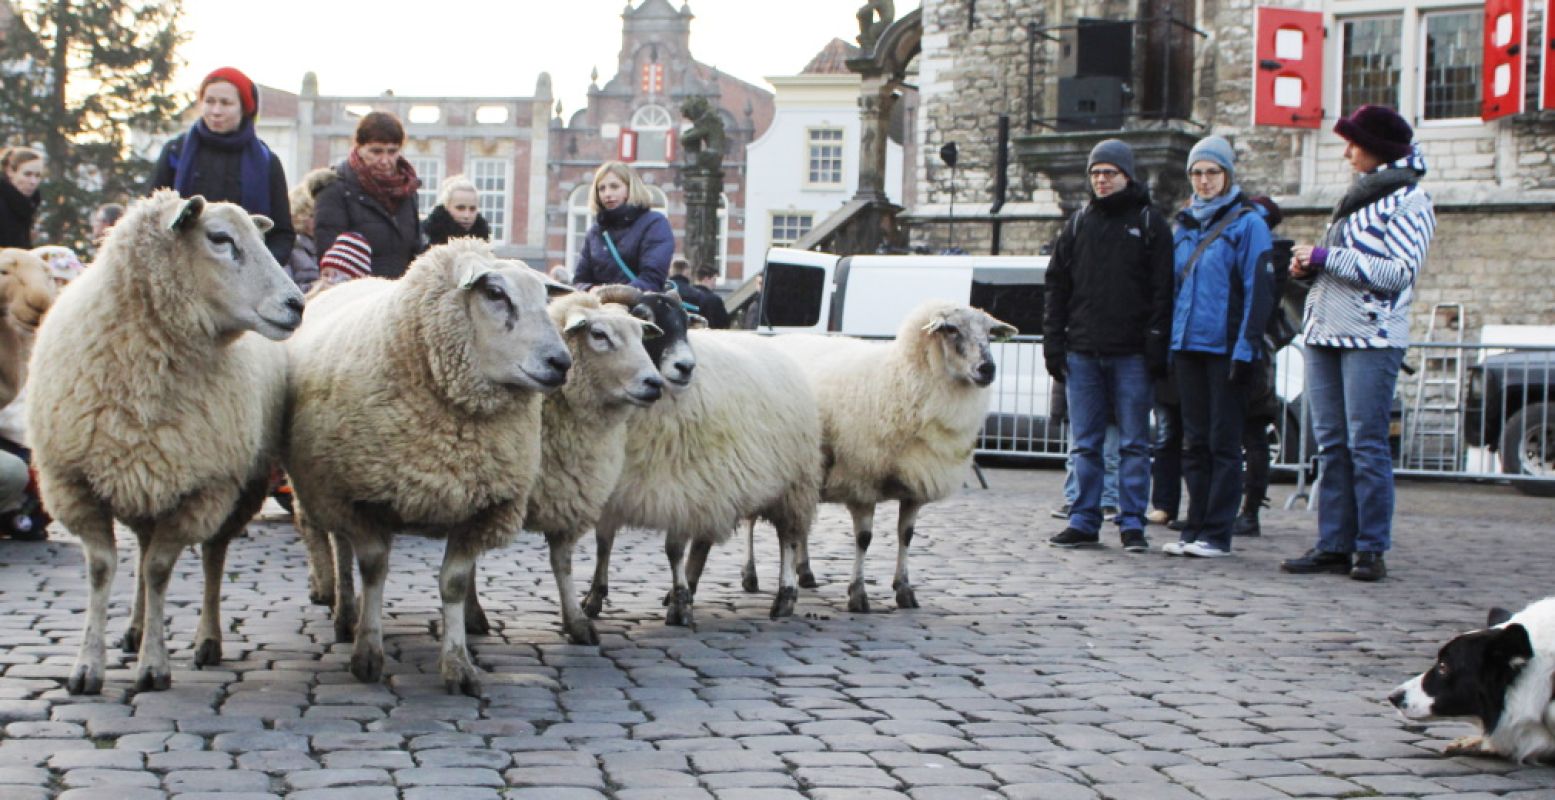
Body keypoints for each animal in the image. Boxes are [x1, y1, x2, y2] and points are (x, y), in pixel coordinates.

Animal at [27, 192, 304, 691]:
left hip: (236, 488)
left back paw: (207, 639)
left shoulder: (201, 490)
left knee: (212, 556)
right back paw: (134, 630)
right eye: (220, 239)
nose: (297, 304)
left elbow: (159, 570)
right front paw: (87, 666)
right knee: (139, 551)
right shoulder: (74, 483)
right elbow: (104, 569)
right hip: (144, 479)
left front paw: (154, 666)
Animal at [284, 239, 572, 694]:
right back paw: (345, 615)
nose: (562, 362)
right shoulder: (362, 499)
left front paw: (457, 664)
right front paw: (368, 654)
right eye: (496, 294)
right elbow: (373, 570)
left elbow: (453, 582)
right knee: (339, 550)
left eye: (546, 298)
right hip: (326, 492)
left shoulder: (483, 506)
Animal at [581, 283, 827, 625]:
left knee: (788, 538)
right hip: (720, 484)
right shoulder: (616, 487)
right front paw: (594, 598)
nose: (686, 367)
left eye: (686, 322)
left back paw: (785, 597)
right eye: (646, 322)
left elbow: (673, 548)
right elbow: (603, 543)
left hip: (791, 482)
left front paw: (680, 607)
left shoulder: (683, 486)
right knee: (704, 542)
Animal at [749, 298, 1026, 610]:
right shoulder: (861, 480)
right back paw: (751, 577)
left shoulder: (916, 483)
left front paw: (904, 589)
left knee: (800, 524)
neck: (903, 379)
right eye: (951, 329)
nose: (987, 368)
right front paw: (858, 594)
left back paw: (805, 572)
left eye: (990, 332)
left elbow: (906, 536)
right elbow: (864, 539)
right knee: (753, 522)